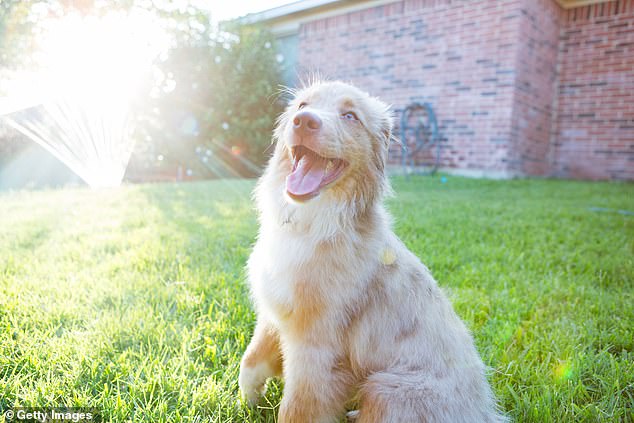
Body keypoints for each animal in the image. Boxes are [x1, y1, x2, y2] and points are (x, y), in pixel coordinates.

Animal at [237, 81, 504, 422]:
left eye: (350, 116)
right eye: (302, 106)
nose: (304, 121)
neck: (312, 224)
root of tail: (484, 412)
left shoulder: (315, 349)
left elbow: (297, 408)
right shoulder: (275, 313)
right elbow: (251, 359)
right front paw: (249, 398)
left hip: (387, 390)